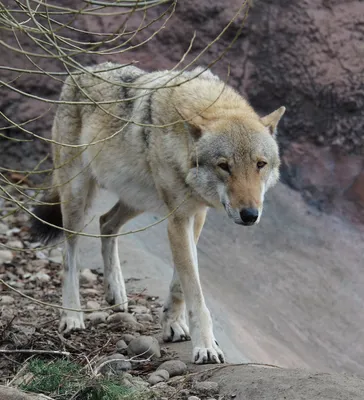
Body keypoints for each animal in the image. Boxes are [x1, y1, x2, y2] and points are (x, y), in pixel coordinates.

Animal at [30, 61, 284, 364]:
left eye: (260, 164)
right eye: (224, 166)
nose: (250, 214)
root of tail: (82, 70)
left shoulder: (195, 216)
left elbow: (180, 285)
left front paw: (173, 324)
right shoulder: (178, 218)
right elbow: (194, 291)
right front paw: (205, 346)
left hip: (136, 200)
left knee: (106, 223)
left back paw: (116, 291)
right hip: (77, 198)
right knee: (69, 255)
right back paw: (72, 316)